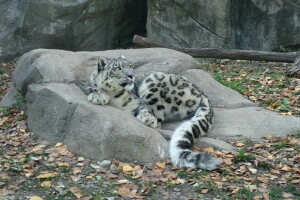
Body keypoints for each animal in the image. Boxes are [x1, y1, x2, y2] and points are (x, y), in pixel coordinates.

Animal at [84, 55, 220, 170]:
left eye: (130, 66)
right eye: (118, 68)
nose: (131, 75)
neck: (114, 94)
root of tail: (202, 93)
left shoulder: (137, 102)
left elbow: (145, 109)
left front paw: (148, 119)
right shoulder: (89, 85)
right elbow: (92, 87)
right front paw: (99, 96)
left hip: (152, 84)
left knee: (159, 120)